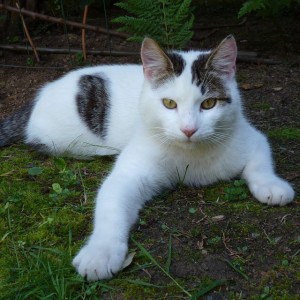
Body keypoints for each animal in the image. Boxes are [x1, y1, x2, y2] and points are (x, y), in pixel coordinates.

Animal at [0, 35, 296, 282]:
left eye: (209, 104)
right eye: (169, 104)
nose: (189, 129)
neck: (191, 156)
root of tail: (40, 93)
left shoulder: (250, 137)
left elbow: (261, 163)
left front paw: (272, 186)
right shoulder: (129, 171)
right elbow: (110, 205)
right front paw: (101, 252)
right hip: (60, 137)